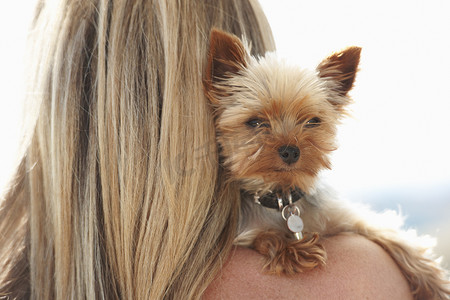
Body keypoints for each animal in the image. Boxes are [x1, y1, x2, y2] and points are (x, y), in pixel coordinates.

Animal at [205, 28, 450, 300]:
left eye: (312, 121)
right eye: (256, 122)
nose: (290, 151)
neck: (283, 197)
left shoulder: (347, 219)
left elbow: (394, 238)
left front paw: (434, 283)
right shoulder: (244, 233)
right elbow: (264, 236)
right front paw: (292, 249)